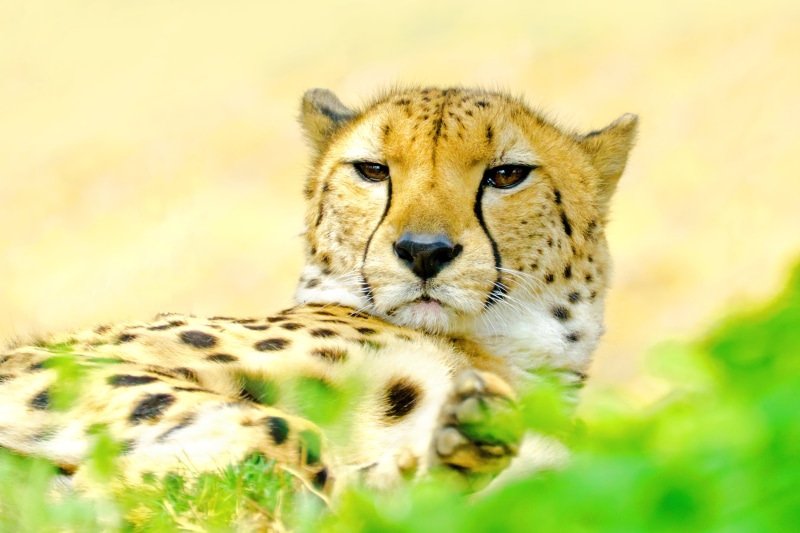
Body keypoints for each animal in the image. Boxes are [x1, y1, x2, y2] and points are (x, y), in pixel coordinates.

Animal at [0, 86, 636, 507]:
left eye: (506, 175)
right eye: (371, 170)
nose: (423, 251)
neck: (500, 356)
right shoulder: (37, 366)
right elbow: (285, 435)